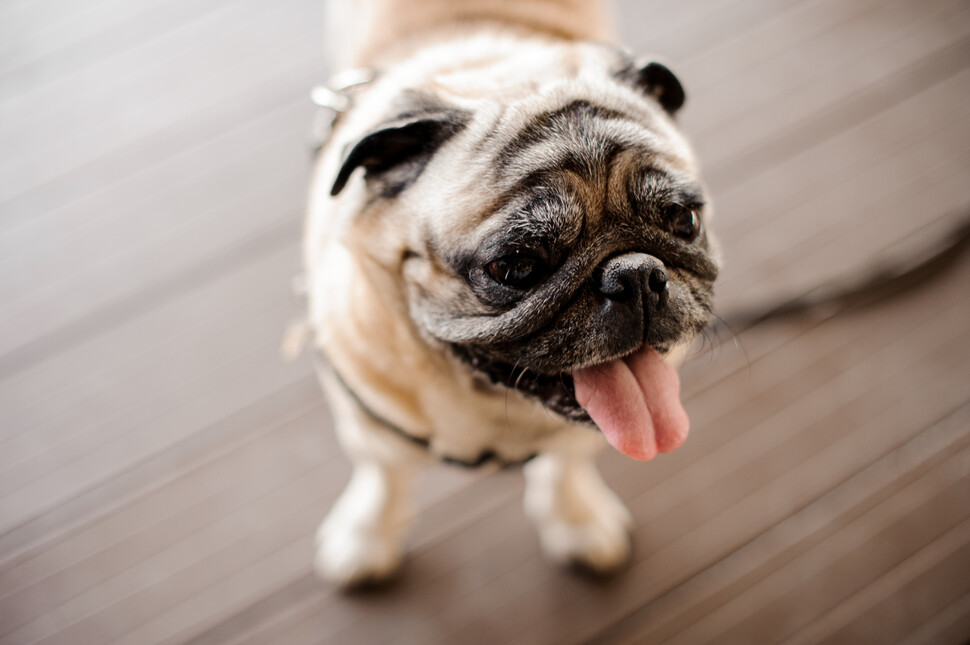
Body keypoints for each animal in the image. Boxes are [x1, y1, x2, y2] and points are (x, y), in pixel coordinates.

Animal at [298, 0, 716, 588]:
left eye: (684, 221)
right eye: (516, 267)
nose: (634, 274)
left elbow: (567, 461)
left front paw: (577, 518)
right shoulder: (371, 420)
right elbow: (384, 475)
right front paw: (367, 536)